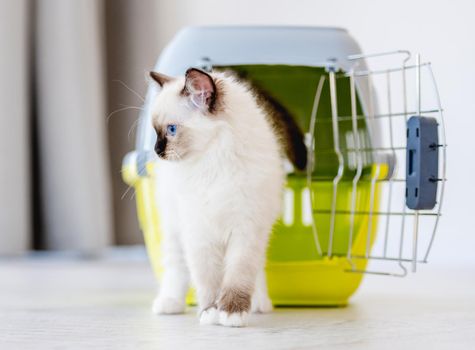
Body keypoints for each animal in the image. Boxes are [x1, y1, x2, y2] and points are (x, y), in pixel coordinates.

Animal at [147, 68, 306, 328]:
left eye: (171, 130)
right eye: (156, 131)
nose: (157, 151)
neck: (212, 163)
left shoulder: (246, 231)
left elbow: (238, 276)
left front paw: (232, 314)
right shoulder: (199, 234)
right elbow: (208, 280)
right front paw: (211, 312)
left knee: (256, 270)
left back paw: (259, 304)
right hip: (173, 228)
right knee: (176, 266)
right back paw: (169, 303)